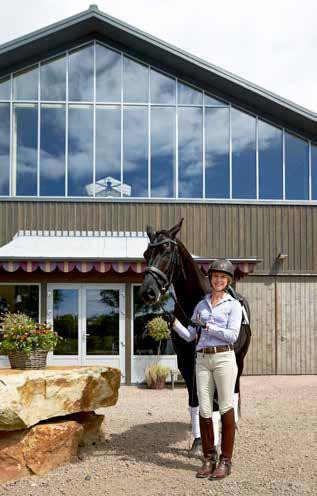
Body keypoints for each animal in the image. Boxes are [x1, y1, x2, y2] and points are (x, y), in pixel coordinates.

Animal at [139, 220, 251, 422]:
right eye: (146, 254)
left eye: (167, 251)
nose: (148, 292)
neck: (194, 301)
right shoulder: (185, 362)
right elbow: (195, 404)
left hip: (239, 358)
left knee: (234, 390)